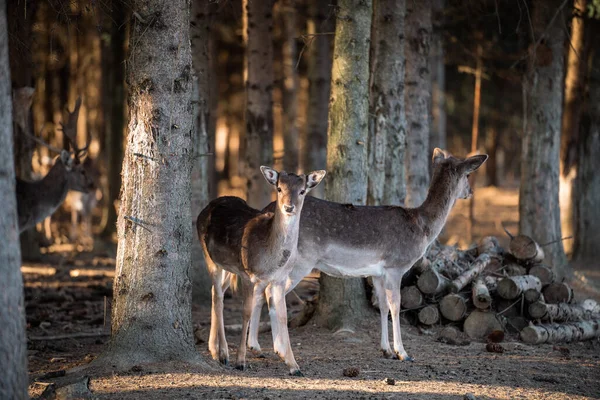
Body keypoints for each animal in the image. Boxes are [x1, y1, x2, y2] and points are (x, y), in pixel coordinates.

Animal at [197, 166, 326, 376]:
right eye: (279, 188)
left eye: (302, 191)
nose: (289, 207)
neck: (271, 259)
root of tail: (208, 206)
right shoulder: (248, 275)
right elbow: (246, 312)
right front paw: (240, 362)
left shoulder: (279, 280)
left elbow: (282, 315)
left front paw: (294, 366)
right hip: (209, 257)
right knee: (218, 296)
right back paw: (222, 354)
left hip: (229, 266)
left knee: (217, 291)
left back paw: (214, 349)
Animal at [244, 148, 488, 364]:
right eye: (467, 175)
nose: (471, 192)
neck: (422, 228)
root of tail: (262, 212)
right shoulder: (395, 266)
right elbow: (396, 306)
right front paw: (403, 353)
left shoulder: (377, 273)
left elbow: (382, 306)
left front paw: (386, 350)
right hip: (299, 262)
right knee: (271, 293)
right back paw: (277, 350)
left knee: (260, 290)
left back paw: (256, 347)